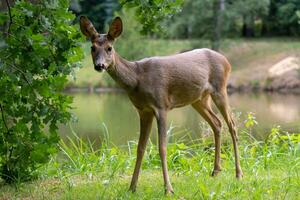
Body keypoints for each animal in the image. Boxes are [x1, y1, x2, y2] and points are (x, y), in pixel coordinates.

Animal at [79, 16, 244, 195]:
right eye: (92, 48)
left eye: (109, 48)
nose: (99, 65)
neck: (137, 79)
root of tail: (227, 61)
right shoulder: (143, 111)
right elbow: (140, 148)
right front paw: (132, 187)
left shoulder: (161, 106)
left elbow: (162, 147)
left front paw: (168, 189)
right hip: (199, 99)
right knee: (217, 123)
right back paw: (215, 171)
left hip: (220, 89)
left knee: (232, 125)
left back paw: (238, 173)